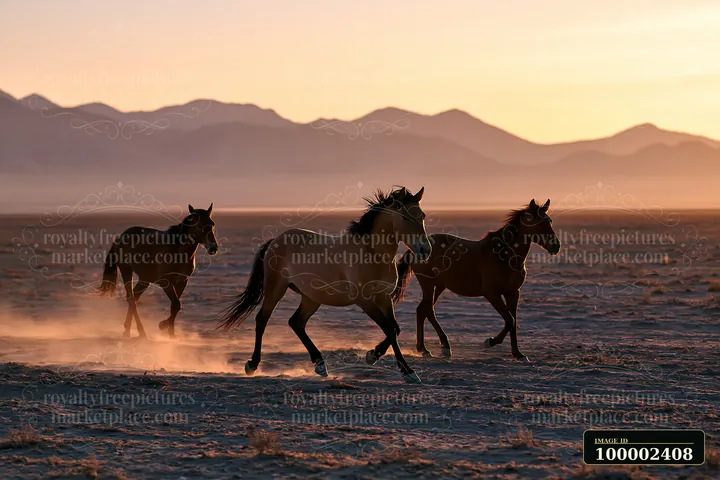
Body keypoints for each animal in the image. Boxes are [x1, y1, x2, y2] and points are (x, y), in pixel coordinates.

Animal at [99, 204, 219, 338]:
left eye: (212, 224)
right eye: (199, 225)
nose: (213, 247)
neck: (177, 250)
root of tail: (120, 237)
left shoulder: (182, 282)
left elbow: (175, 305)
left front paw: (171, 334)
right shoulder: (165, 282)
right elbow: (176, 304)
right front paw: (163, 325)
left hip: (144, 279)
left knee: (134, 297)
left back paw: (128, 329)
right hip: (126, 270)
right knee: (131, 299)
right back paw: (140, 331)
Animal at [218, 187, 432, 383]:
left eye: (422, 216)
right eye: (405, 218)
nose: (425, 250)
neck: (372, 252)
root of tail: (275, 241)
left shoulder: (384, 298)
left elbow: (395, 328)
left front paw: (373, 355)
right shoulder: (365, 301)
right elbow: (389, 329)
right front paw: (408, 372)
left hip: (312, 297)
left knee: (296, 322)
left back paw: (320, 364)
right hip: (275, 289)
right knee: (262, 319)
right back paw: (252, 364)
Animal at [392, 199, 560, 361]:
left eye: (550, 221)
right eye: (539, 223)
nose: (556, 246)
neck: (504, 256)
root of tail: (416, 250)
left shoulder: (513, 293)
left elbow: (513, 322)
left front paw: (518, 354)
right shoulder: (492, 294)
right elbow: (510, 320)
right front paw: (490, 341)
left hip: (438, 286)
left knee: (422, 310)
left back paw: (423, 349)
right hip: (428, 283)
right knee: (428, 310)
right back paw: (444, 347)